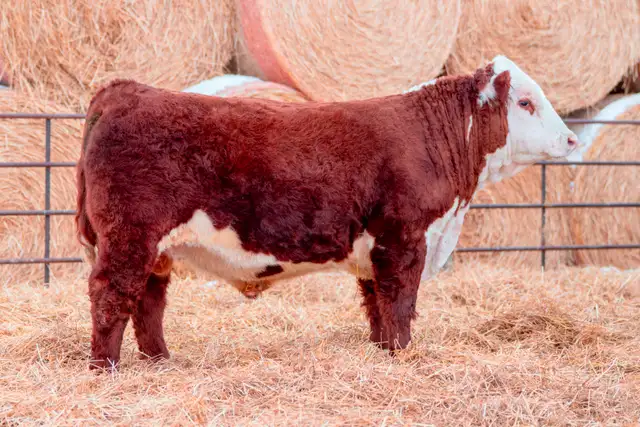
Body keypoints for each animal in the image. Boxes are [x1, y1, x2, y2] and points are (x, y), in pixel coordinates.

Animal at [75, 55, 581, 370]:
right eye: (525, 102)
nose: (572, 139)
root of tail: (125, 91)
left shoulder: (375, 249)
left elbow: (376, 304)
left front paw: (383, 352)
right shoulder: (404, 239)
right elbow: (400, 302)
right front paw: (404, 354)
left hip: (153, 248)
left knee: (148, 301)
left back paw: (160, 361)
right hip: (130, 236)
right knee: (111, 295)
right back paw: (106, 368)